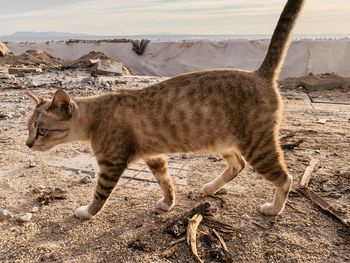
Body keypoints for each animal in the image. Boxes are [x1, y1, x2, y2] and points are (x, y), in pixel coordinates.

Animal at [25, 0, 304, 221]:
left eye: (41, 131)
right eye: (29, 129)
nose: (28, 144)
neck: (95, 115)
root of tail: (259, 74)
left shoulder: (111, 164)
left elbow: (100, 195)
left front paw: (87, 212)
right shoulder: (155, 157)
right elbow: (166, 182)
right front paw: (168, 203)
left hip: (258, 145)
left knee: (285, 178)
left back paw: (274, 209)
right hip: (223, 141)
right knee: (238, 165)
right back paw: (209, 188)